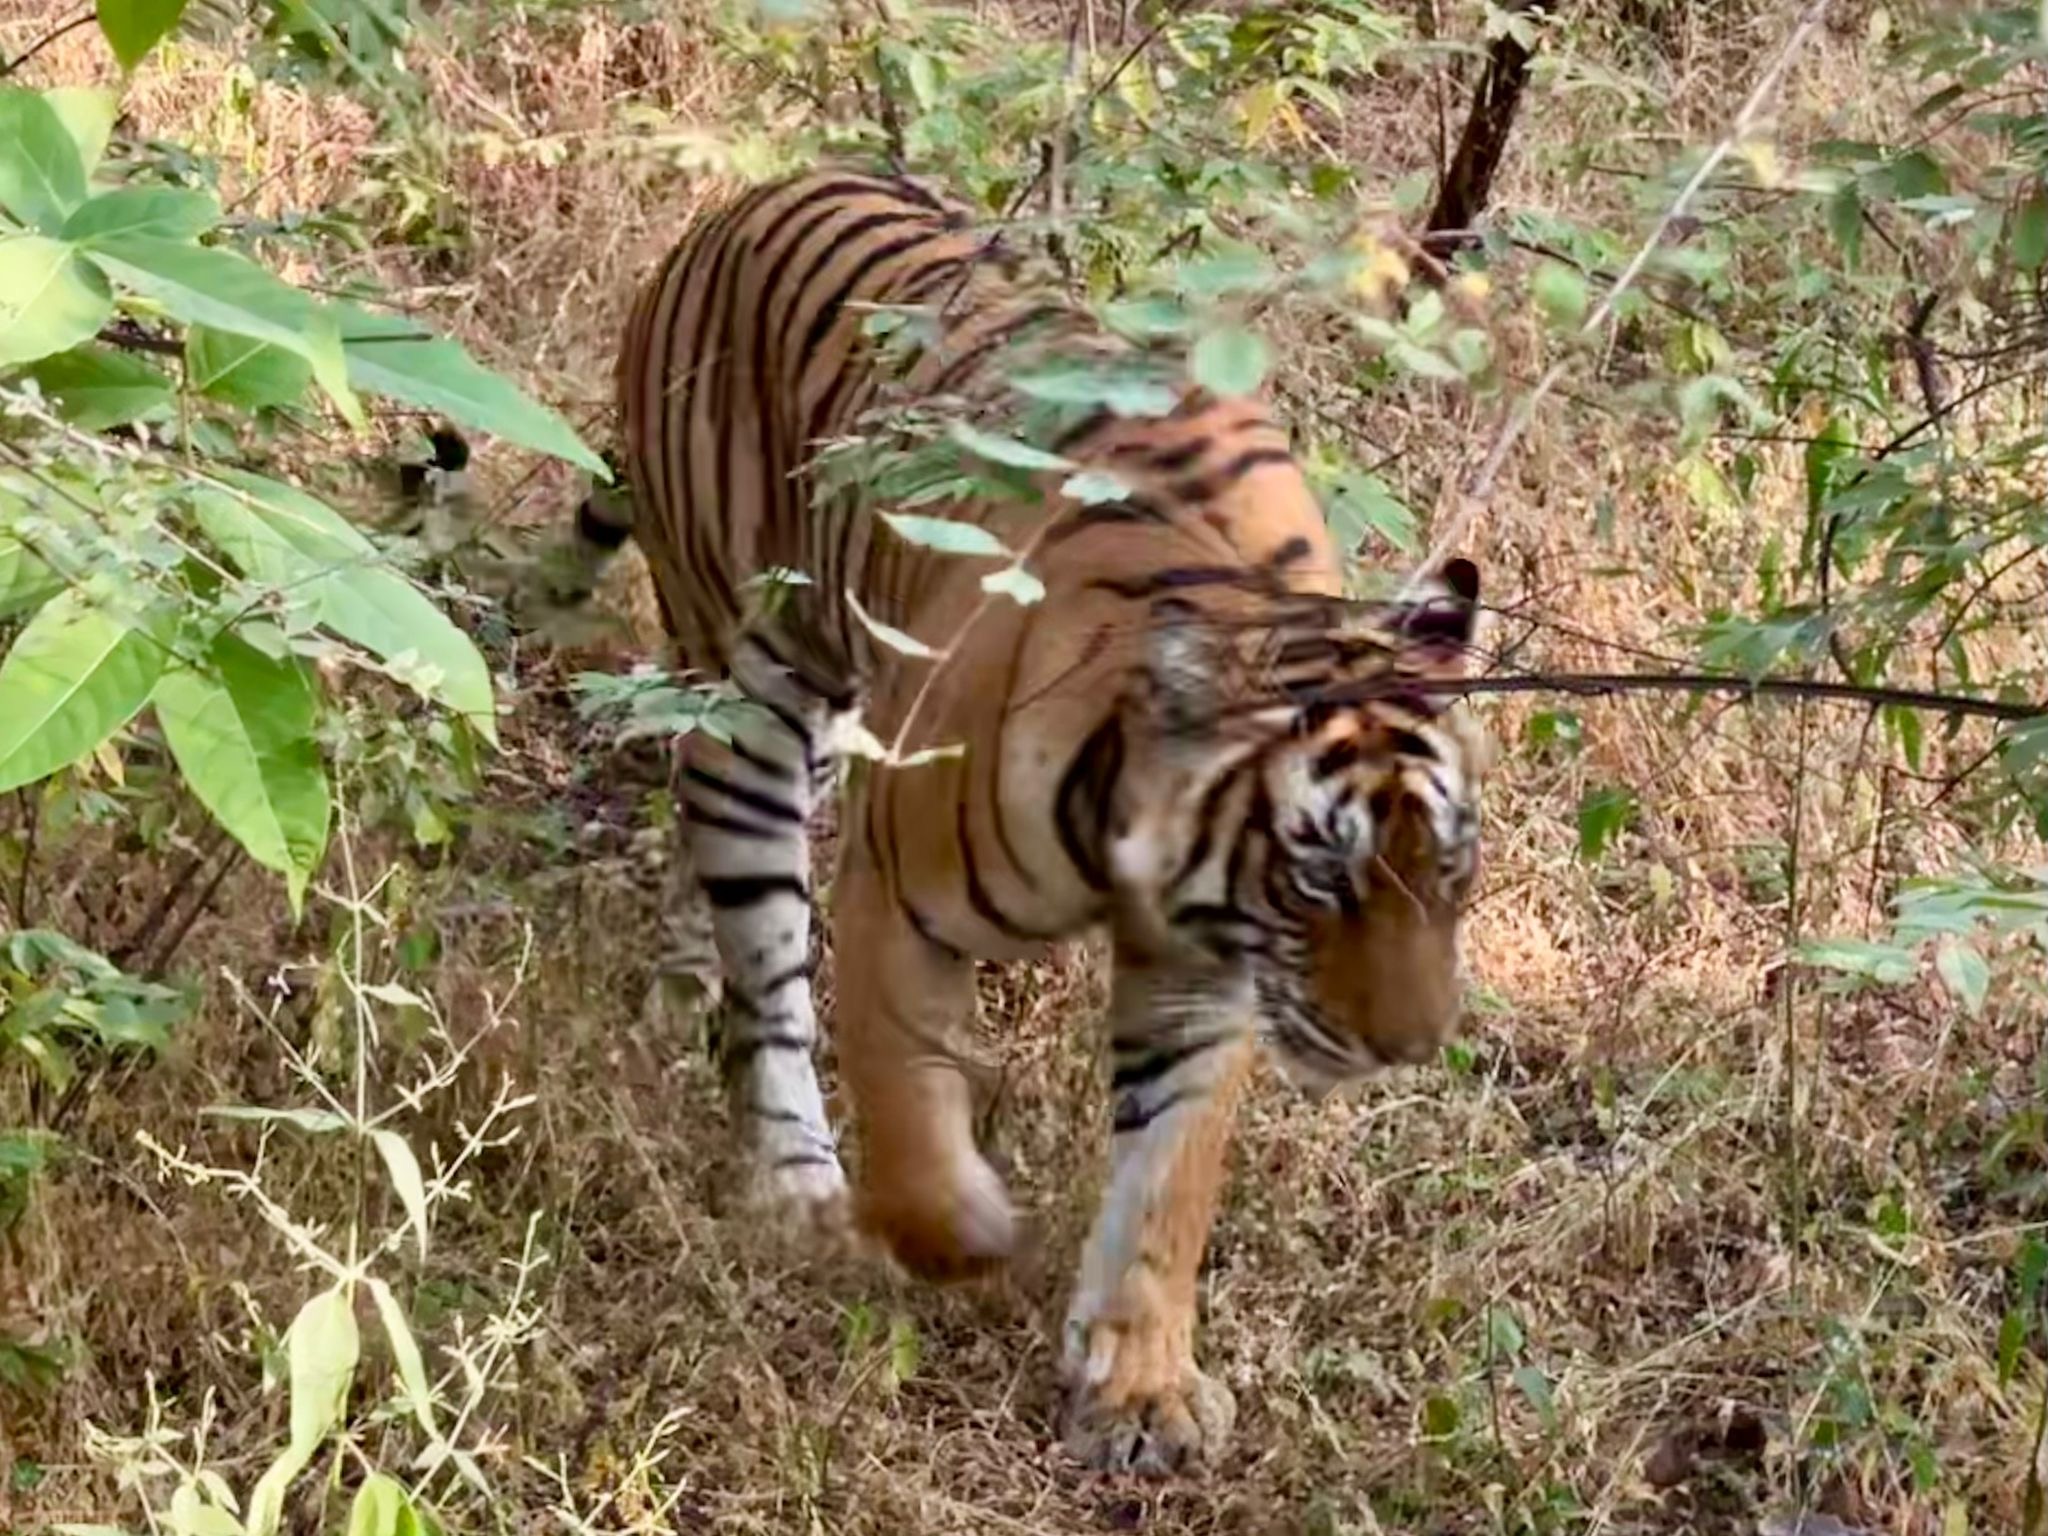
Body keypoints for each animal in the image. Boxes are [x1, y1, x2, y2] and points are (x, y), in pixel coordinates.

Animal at [557, 168, 1492, 1474]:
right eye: (1318, 878)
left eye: (1449, 871)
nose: (1407, 1046)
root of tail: (745, 199)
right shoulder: (896, 898)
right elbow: (905, 1104)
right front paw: (966, 1239)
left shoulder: (1206, 979)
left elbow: (1165, 1185)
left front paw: (1140, 1390)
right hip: (751, 692)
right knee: (762, 947)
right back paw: (796, 1183)